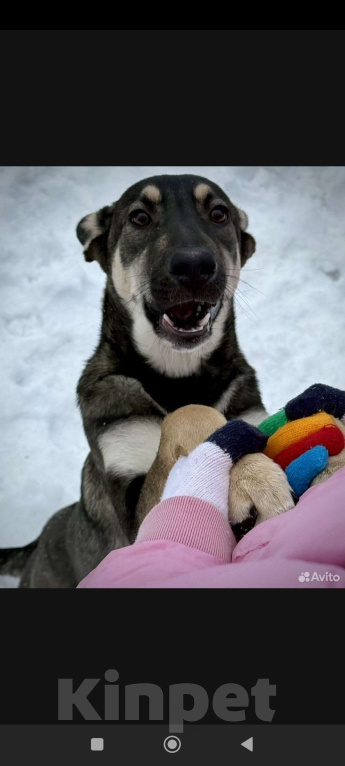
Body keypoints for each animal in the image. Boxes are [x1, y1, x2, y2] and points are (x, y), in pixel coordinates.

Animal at [0, 174, 268, 588]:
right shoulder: (134, 504)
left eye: (219, 214)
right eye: (139, 217)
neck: (179, 376)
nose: (194, 265)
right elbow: (189, 422)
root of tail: (38, 541)